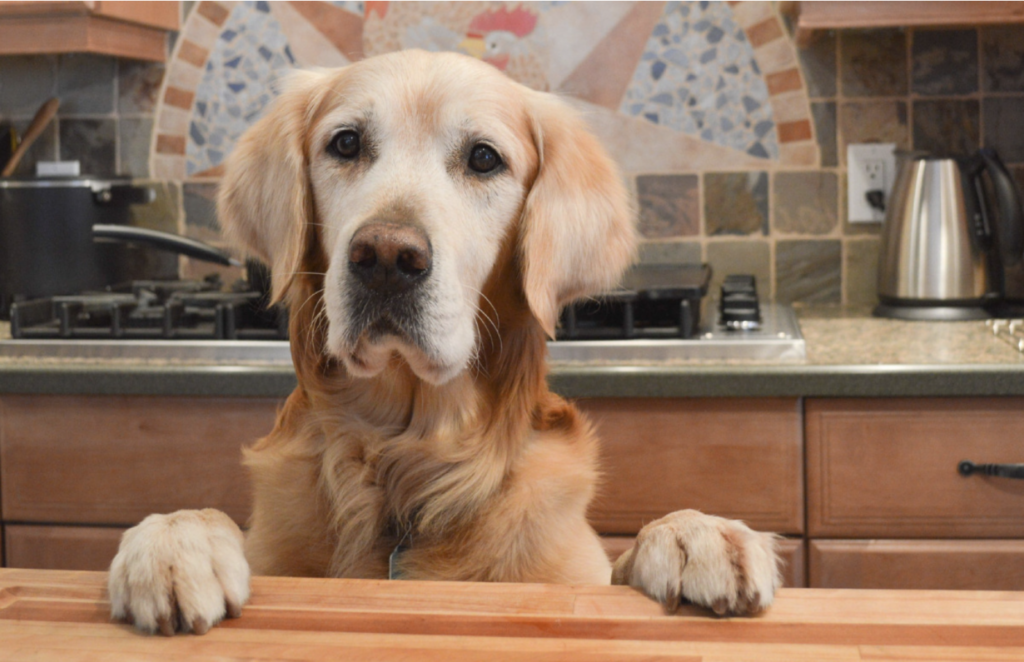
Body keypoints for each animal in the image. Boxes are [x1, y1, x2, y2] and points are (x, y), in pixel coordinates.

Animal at [105, 49, 774, 635]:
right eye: (345, 143)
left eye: (484, 158)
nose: (385, 258)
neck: (410, 458)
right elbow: (211, 518)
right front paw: (173, 539)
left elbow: (625, 556)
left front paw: (694, 533)